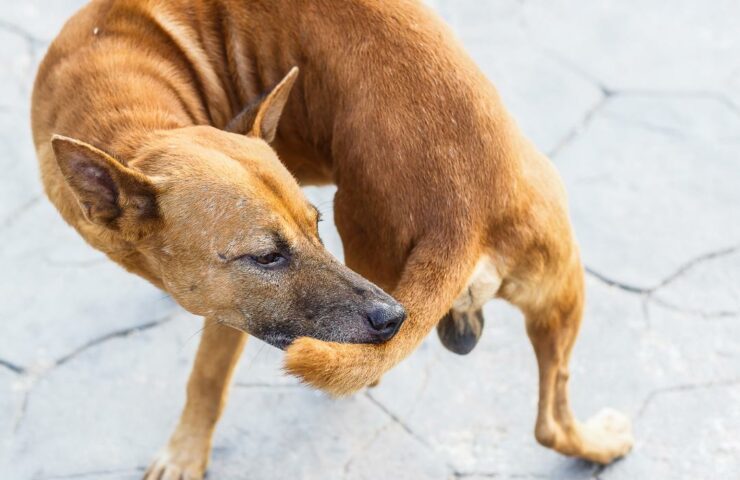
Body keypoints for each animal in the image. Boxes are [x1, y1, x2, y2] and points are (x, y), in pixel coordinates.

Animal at [33, 0, 636, 480]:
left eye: (315, 226)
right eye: (268, 256)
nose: (393, 318)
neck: (131, 113)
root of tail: (464, 205)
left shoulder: (230, 317)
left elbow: (204, 379)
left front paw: (184, 454)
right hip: (557, 290)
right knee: (550, 422)